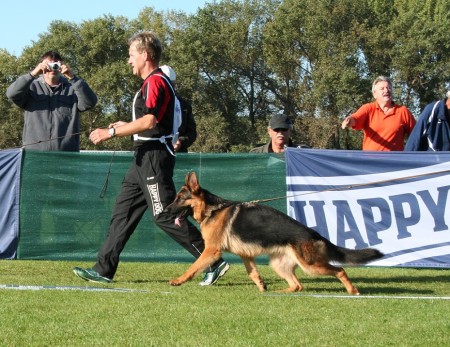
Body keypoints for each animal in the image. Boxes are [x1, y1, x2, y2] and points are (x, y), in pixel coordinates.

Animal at [165, 173, 384, 294]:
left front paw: (178, 280)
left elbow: (193, 267)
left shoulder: (211, 251)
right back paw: (281, 291)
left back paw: (353, 291)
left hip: (311, 266)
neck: (213, 209)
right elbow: (253, 273)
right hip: (279, 265)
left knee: (340, 270)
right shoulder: (245, 255)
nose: (164, 211)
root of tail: (315, 234)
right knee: (297, 286)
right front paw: (262, 287)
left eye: (180, 199)